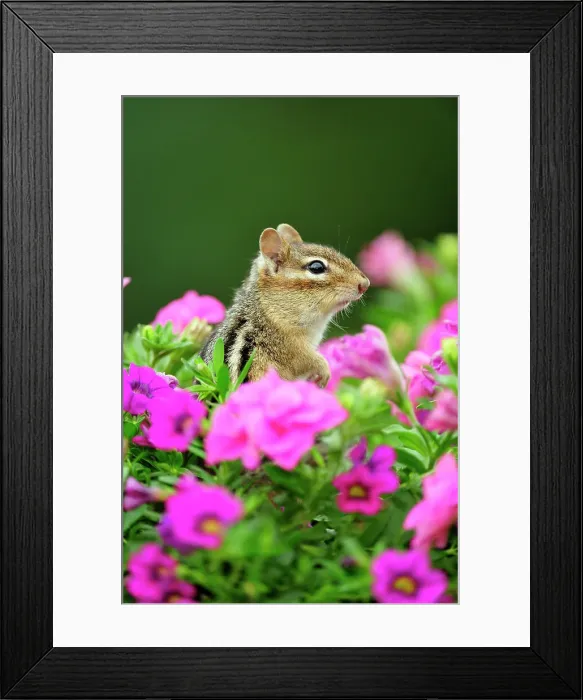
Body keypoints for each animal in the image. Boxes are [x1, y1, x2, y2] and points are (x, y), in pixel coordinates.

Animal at [200, 224, 370, 388]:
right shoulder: (291, 348)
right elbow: (308, 360)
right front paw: (324, 370)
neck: (268, 311)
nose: (365, 284)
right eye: (316, 267)